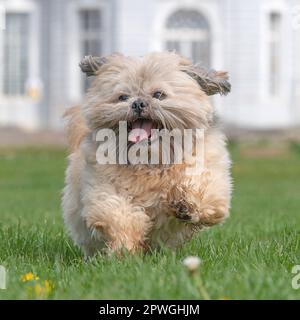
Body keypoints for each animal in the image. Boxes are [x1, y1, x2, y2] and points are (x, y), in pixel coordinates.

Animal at [62, 52, 232, 258]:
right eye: (123, 97)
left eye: (159, 94)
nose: (137, 103)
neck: (152, 160)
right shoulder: (103, 188)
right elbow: (118, 213)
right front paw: (124, 250)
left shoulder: (210, 172)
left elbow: (204, 189)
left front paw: (186, 204)